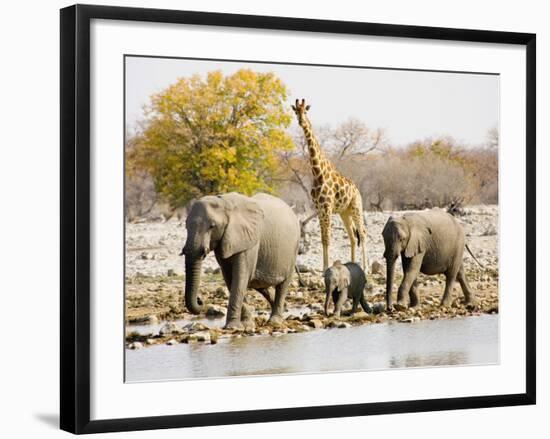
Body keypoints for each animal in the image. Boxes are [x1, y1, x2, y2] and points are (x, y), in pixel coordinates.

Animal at [181, 192, 302, 330]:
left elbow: (240, 277)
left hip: (293, 249)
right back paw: (284, 309)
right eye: (185, 226)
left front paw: (232, 327)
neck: (224, 202)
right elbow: (230, 278)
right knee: (259, 284)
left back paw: (275, 321)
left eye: (212, 226)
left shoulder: (248, 241)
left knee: (282, 285)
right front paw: (246, 324)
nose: (200, 300)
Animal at [292, 98, 368, 274]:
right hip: (344, 212)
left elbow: (327, 238)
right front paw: (323, 267)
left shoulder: (326, 208)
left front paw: (326, 267)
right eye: (296, 112)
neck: (317, 172)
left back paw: (366, 267)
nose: (301, 121)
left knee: (362, 233)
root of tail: (357, 190)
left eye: (306, 111)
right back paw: (353, 264)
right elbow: (323, 239)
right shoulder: (320, 209)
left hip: (356, 207)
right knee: (353, 236)